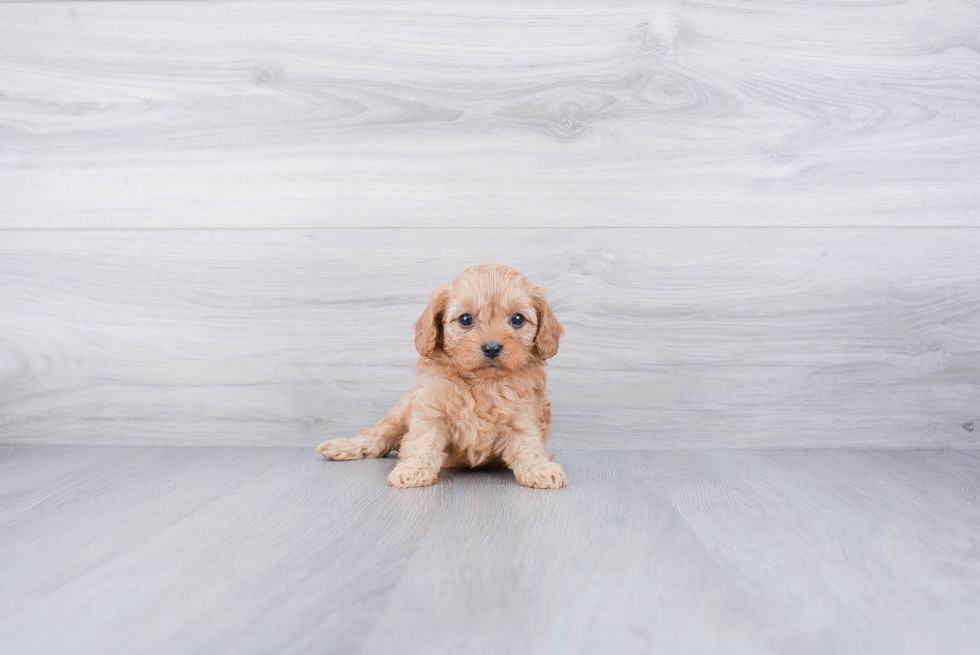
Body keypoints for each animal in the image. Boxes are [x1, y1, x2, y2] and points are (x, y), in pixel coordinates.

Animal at [318, 266, 568, 486]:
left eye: (517, 319)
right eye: (466, 319)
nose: (492, 348)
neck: (483, 384)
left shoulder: (523, 417)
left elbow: (528, 446)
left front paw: (540, 469)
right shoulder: (430, 412)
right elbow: (422, 441)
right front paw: (413, 469)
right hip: (401, 411)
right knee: (377, 436)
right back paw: (343, 447)